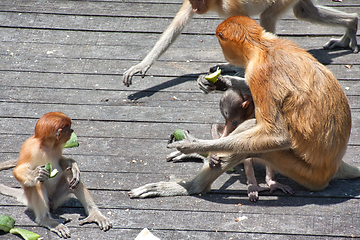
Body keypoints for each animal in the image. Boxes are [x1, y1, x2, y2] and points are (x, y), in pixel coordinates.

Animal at [122, 0, 358, 86]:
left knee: (267, 17)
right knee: (304, 12)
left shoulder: (231, 6)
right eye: (194, 2)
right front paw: (141, 66)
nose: (197, 7)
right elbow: (175, 27)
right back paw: (351, 24)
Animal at [130, 15, 360, 199]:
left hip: (304, 172)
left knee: (252, 133)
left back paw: (191, 186)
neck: (262, 45)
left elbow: (277, 135)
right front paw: (219, 82)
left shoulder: (260, 72)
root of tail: (334, 165)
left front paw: (191, 145)